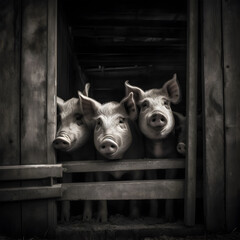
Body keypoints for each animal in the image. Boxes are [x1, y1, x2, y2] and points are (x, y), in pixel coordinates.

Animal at [52, 83, 94, 222]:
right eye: (59, 119)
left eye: (78, 117)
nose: (60, 139)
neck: (77, 155)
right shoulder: (65, 161)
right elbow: (66, 185)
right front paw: (64, 220)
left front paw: (86, 219)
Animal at [78, 91, 144, 222]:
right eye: (99, 122)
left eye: (121, 120)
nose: (107, 140)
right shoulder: (98, 170)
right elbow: (101, 193)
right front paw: (101, 221)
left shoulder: (138, 169)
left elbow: (135, 193)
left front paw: (134, 218)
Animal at [125, 73, 182, 221]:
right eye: (145, 104)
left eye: (166, 103)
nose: (157, 114)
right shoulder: (148, 160)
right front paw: (152, 217)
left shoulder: (173, 159)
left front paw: (169, 219)